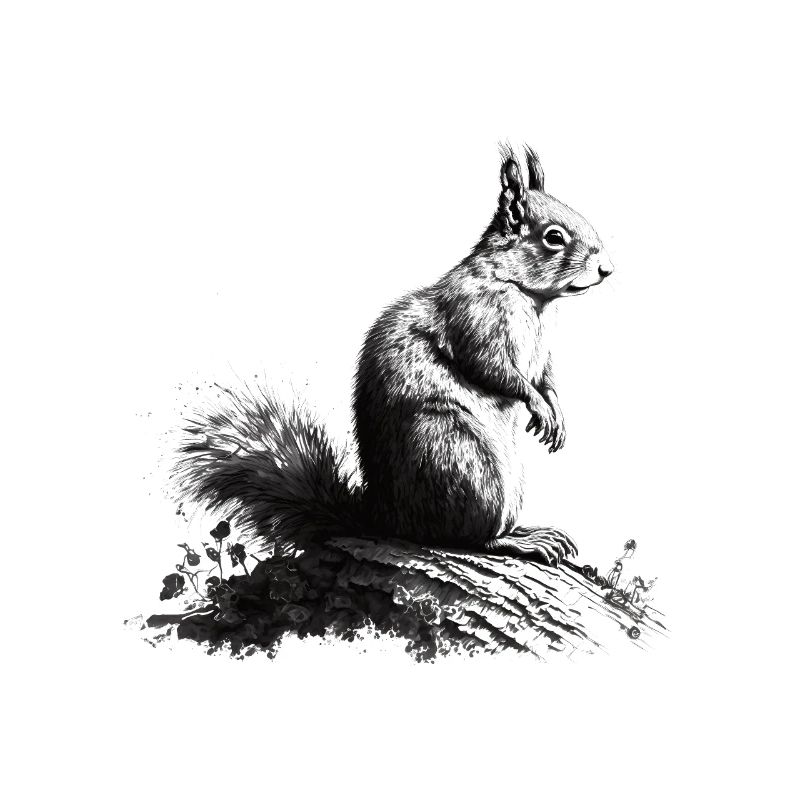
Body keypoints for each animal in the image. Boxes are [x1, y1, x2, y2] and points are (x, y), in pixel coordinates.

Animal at [175, 145, 613, 566]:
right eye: (554, 237)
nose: (607, 268)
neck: (527, 294)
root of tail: (386, 518)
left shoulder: (543, 351)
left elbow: (547, 377)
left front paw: (556, 410)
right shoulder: (472, 318)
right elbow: (492, 368)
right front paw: (537, 404)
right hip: (458, 458)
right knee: (469, 537)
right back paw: (519, 542)